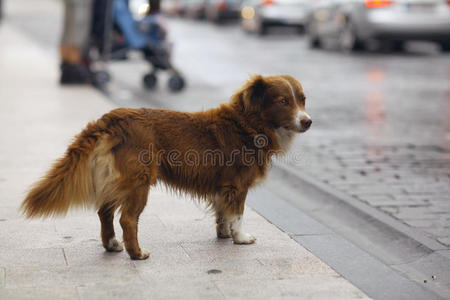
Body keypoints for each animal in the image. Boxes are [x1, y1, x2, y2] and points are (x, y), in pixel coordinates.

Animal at [20, 74, 310, 258]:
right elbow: (237, 214)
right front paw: (240, 238)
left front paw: (224, 234)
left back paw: (112, 244)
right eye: (283, 101)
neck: (248, 123)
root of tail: (112, 119)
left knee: (104, 211)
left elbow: (222, 213)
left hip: (119, 180)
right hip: (138, 182)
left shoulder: (222, 187)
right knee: (127, 219)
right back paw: (137, 254)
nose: (308, 121)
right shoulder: (237, 186)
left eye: (303, 99)